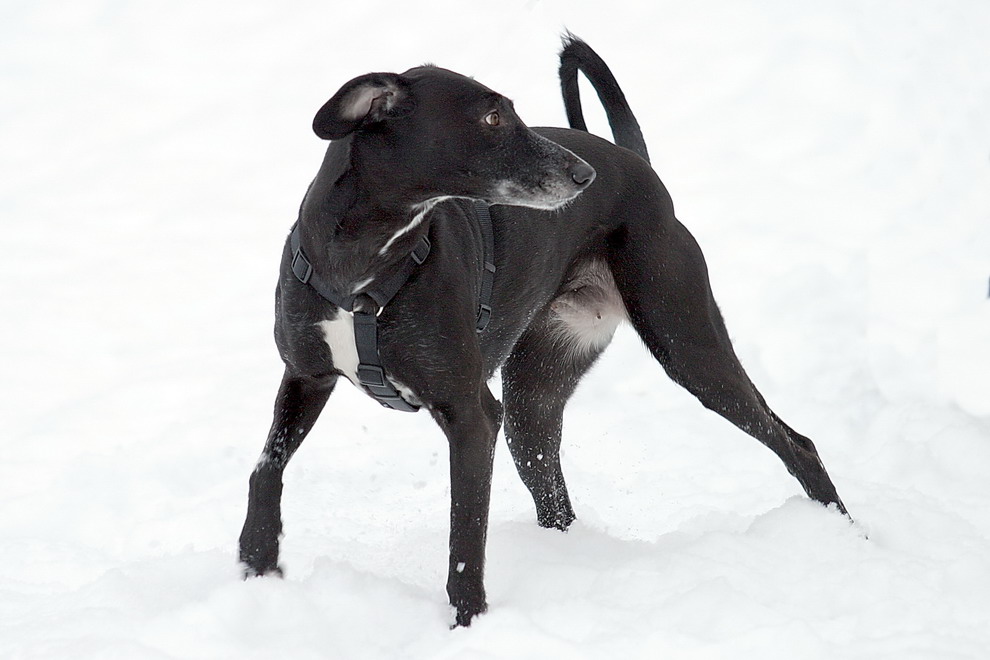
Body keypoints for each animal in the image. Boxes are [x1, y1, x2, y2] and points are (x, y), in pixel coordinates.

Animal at [238, 37, 844, 628]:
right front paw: (256, 561)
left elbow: (466, 533)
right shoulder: (306, 377)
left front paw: (469, 623)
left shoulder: (472, 416)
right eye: (492, 117)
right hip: (534, 403)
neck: (364, 266)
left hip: (689, 348)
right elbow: (266, 468)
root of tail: (635, 164)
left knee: (798, 443)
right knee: (555, 497)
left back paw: (843, 533)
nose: (583, 176)